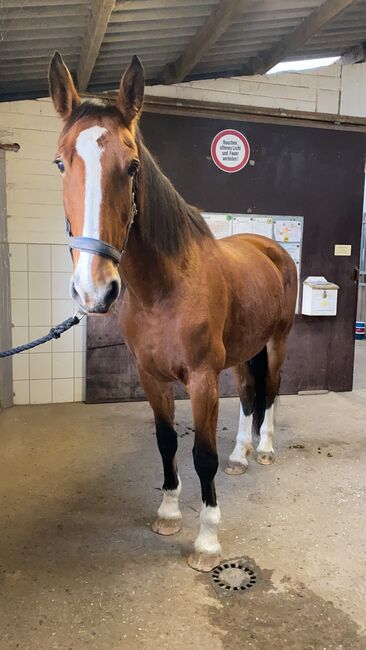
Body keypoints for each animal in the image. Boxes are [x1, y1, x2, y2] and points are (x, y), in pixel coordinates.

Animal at [48, 52, 298, 568]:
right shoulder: (152, 377)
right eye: (61, 162)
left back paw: (263, 450)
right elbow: (166, 443)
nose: (93, 290)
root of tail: (271, 248)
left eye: (131, 166)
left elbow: (202, 454)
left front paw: (207, 540)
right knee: (250, 395)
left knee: (272, 390)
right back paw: (241, 456)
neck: (166, 289)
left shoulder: (201, 379)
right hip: (243, 352)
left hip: (276, 341)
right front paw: (167, 513)